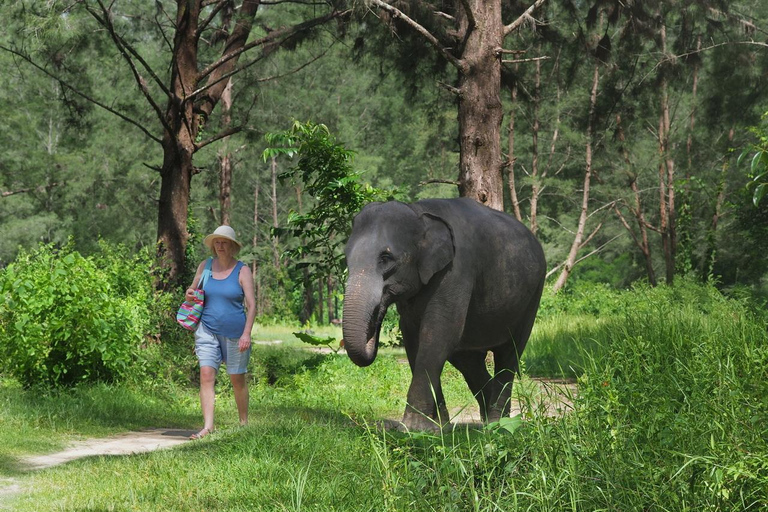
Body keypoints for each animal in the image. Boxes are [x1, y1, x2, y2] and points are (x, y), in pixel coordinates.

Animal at [342, 198, 544, 430]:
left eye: (385, 258)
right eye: (346, 258)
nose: (377, 314)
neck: (418, 212)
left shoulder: (456, 271)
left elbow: (438, 334)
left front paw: (412, 428)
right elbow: (414, 339)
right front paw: (438, 427)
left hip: (532, 298)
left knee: (509, 355)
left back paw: (496, 424)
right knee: (468, 361)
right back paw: (485, 417)